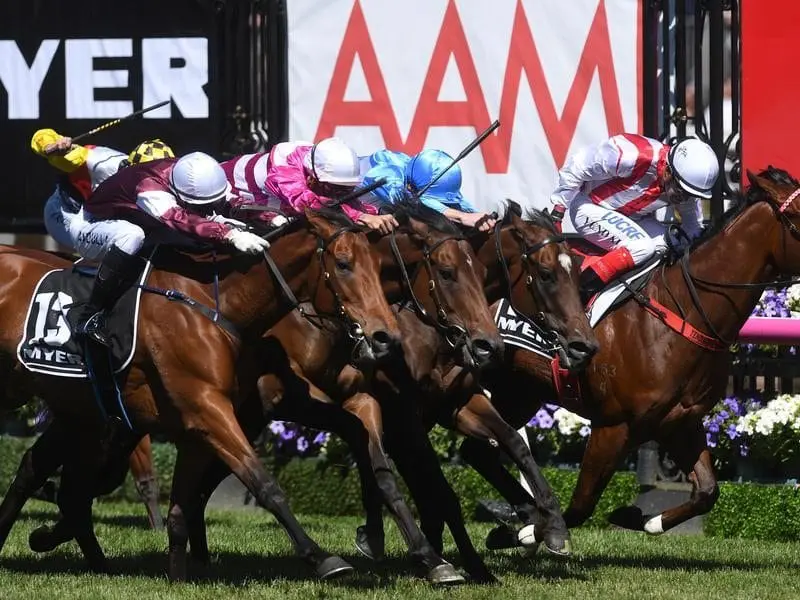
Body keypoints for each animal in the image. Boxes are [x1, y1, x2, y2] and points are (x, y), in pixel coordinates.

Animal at [0, 209, 400, 580]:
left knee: (45, 475)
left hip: (78, 412)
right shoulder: (208, 409)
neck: (213, 304)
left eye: (379, 266)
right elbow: (264, 483)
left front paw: (178, 577)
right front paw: (323, 559)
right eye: (343, 264)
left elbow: (181, 507)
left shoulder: (197, 424)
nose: (386, 337)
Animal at [462, 166, 800, 548]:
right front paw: (529, 531)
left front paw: (640, 517)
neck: (680, 314)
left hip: (519, 391)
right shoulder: (612, 427)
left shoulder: (680, 420)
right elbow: (580, 506)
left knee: (477, 450)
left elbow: (707, 491)